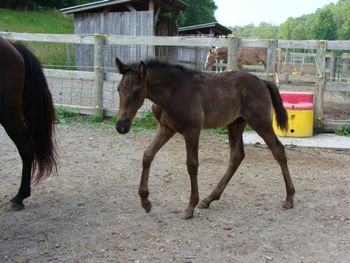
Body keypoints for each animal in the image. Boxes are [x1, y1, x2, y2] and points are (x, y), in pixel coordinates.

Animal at [115, 58, 296, 221]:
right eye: (118, 89)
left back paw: (289, 198)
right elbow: (148, 155)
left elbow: (192, 164)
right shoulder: (166, 128)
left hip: (260, 122)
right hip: (236, 124)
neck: (174, 91)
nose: (121, 126)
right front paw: (145, 201)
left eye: (136, 91)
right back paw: (209, 199)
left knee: (278, 150)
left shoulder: (192, 130)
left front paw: (190, 208)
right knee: (237, 156)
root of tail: (262, 81)